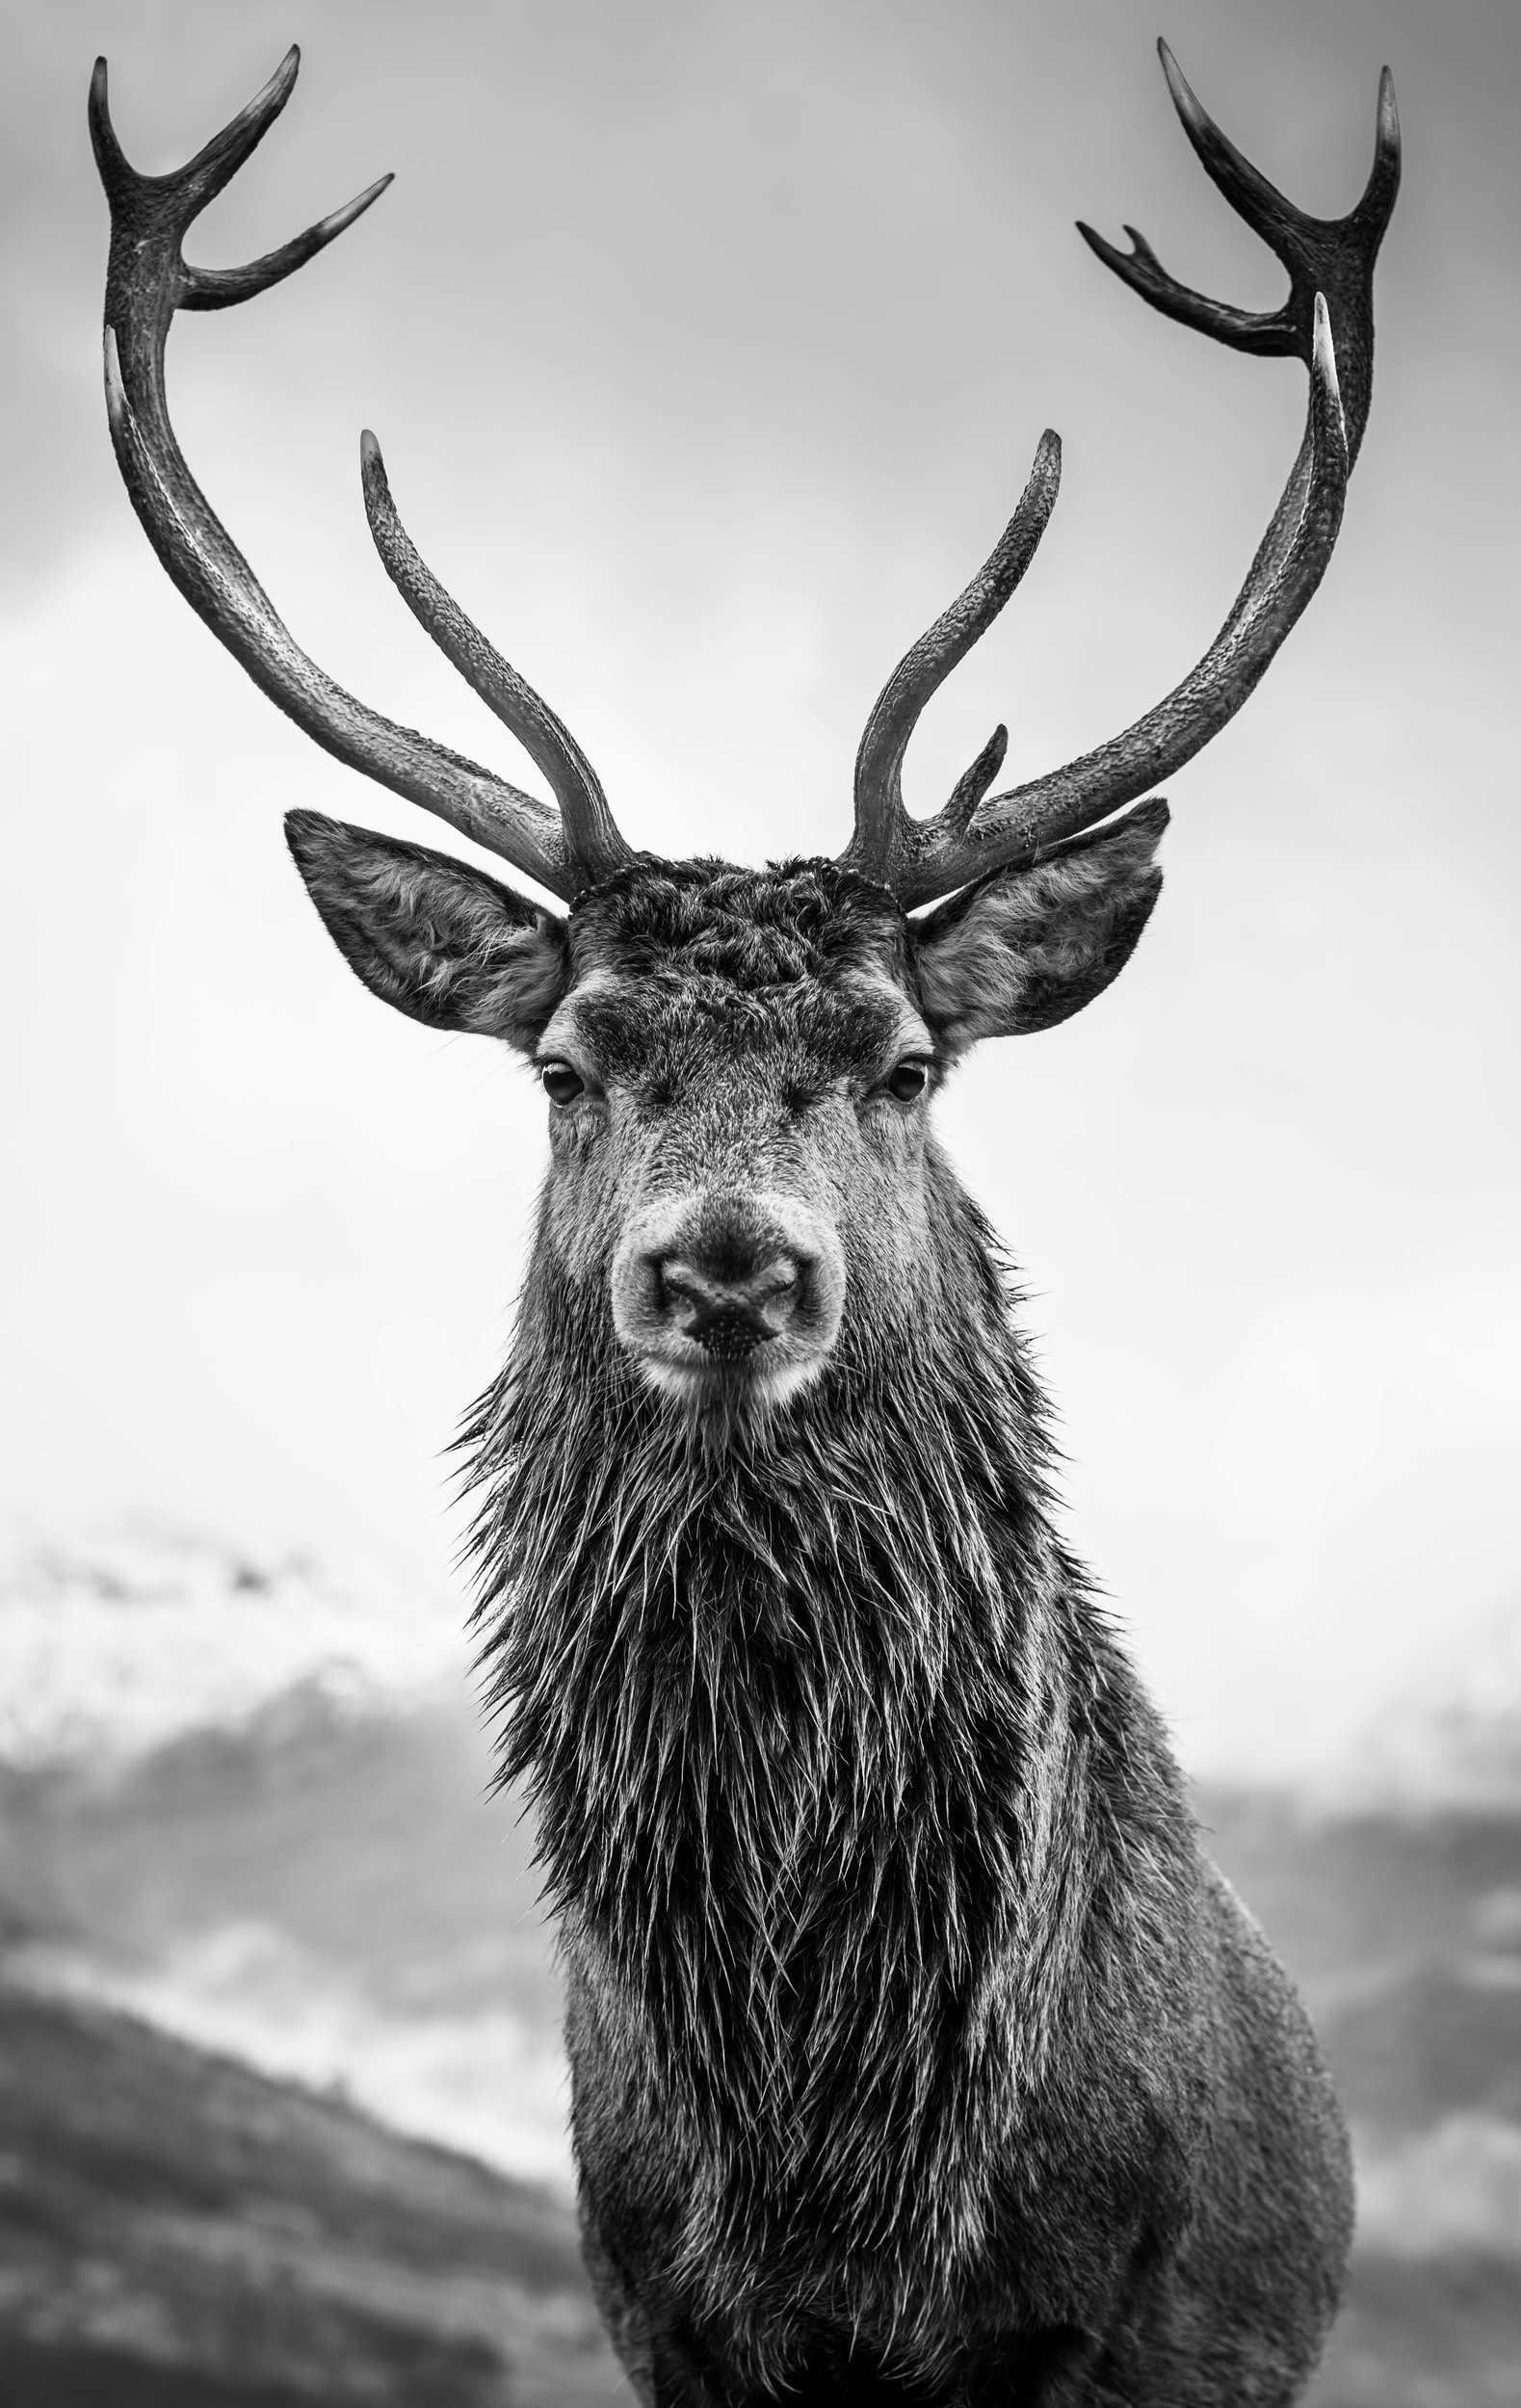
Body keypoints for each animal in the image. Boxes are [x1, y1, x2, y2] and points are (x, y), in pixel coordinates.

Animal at [92, 36, 1399, 2408]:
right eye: (562, 1061)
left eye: (902, 1062)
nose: (724, 1266)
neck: (831, 2166)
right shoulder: (655, 2307)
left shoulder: (1102, 2318)